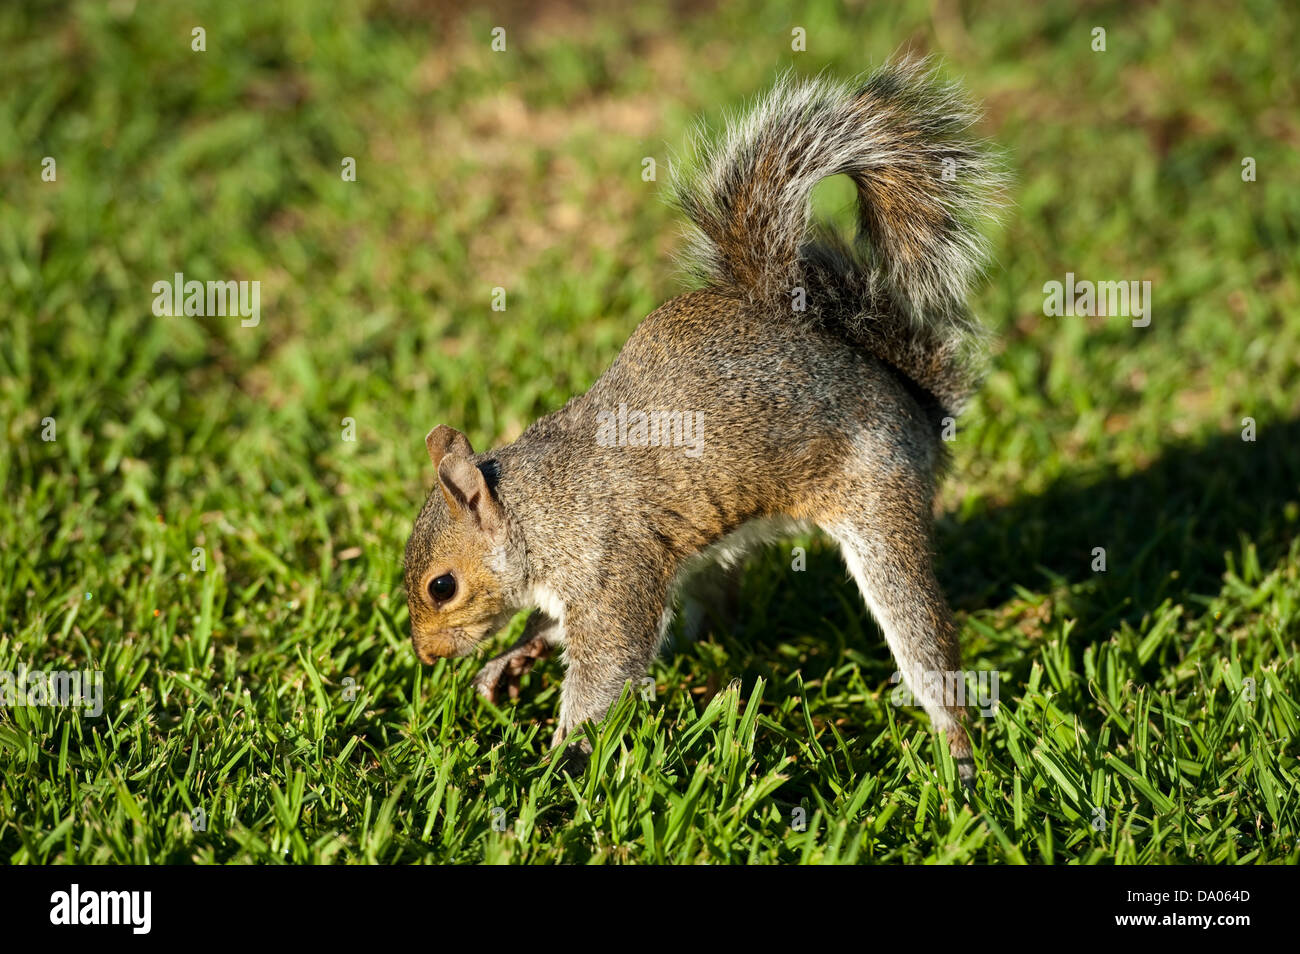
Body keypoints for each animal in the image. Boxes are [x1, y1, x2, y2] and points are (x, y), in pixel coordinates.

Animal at [404, 57, 1002, 784]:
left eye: (442, 587)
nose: (426, 656)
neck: (535, 512)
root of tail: (917, 408)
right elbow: (561, 631)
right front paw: (512, 658)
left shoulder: (612, 566)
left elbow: (610, 661)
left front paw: (557, 759)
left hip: (881, 503)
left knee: (921, 639)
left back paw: (959, 753)